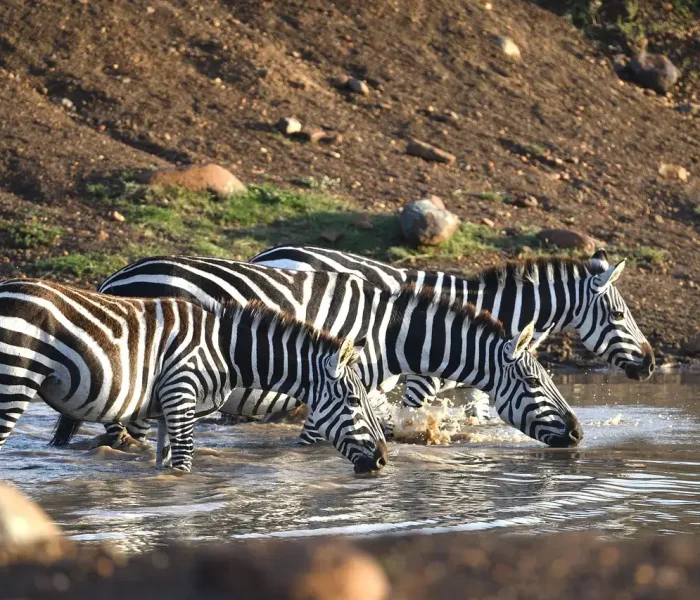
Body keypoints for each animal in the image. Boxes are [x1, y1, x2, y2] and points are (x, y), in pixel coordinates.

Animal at [0, 278, 387, 473]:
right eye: (354, 401)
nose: (383, 459)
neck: (226, 350)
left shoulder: (165, 409)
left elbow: (165, 463)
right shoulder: (180, 393)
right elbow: (184, 461)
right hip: (13, 382)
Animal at [51, 257, 583, 448]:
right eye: (536, 383)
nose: (579, 434)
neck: (389, 334)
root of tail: (115, 277)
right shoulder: (337, 384)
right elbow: (315, 439)